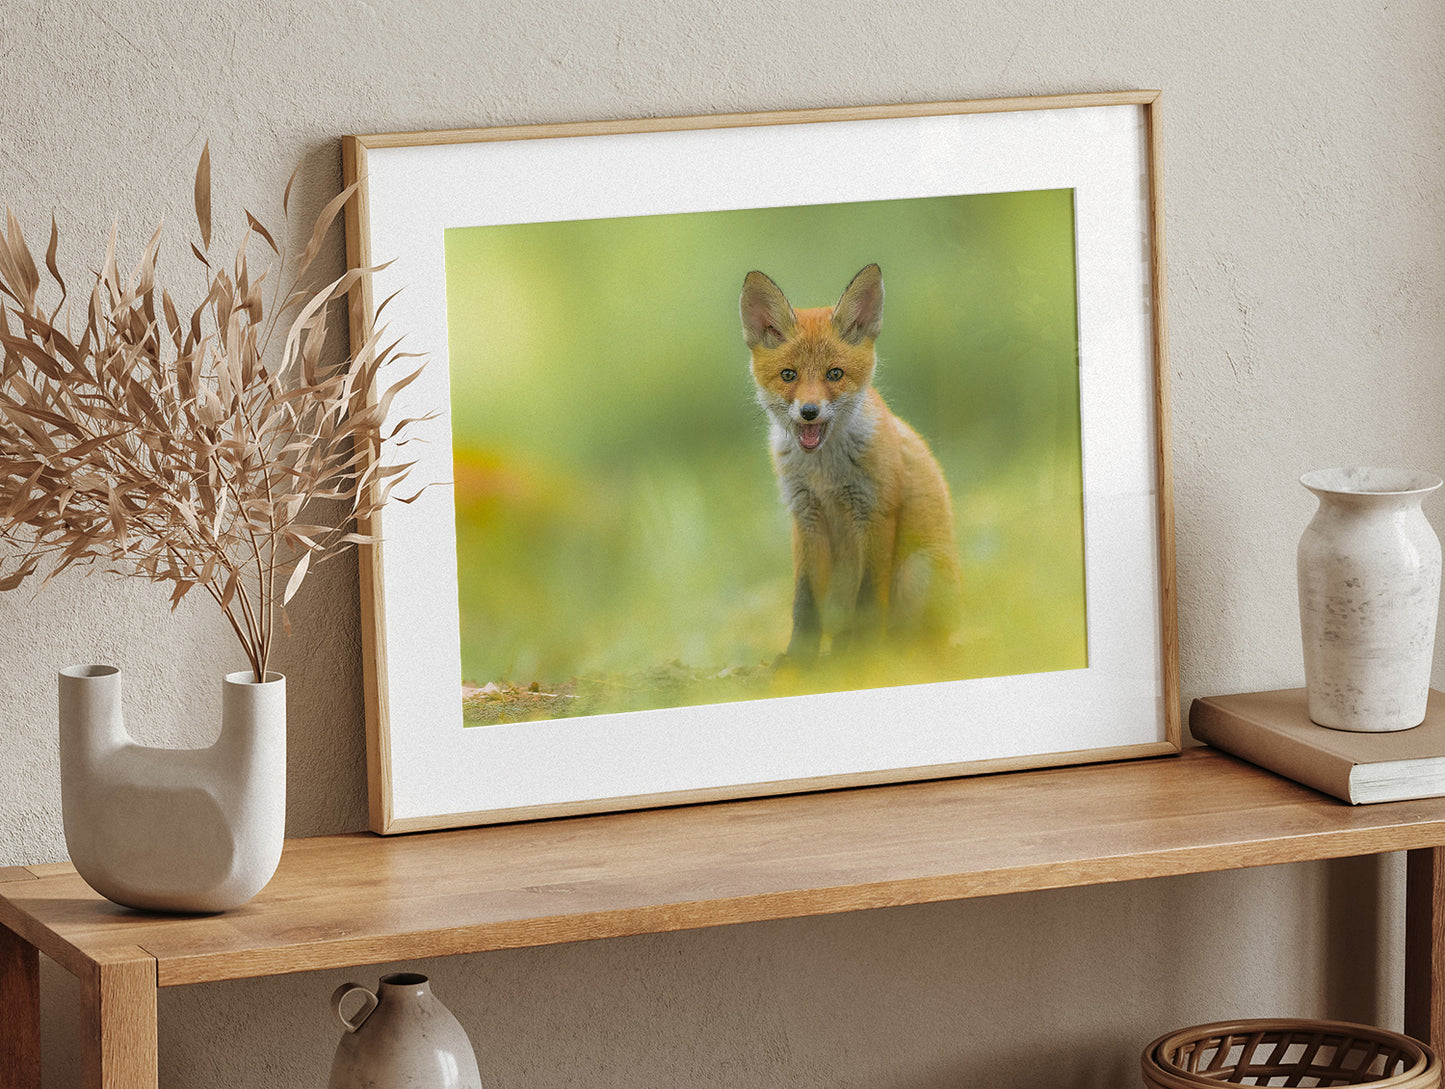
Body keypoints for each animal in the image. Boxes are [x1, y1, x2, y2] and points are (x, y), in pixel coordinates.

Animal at [740, 263, 962, 664]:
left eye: (835, 374)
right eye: (789, 375)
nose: (809, 412)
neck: (824, 475)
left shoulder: (875, 514)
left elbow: (870, 599)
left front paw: (863, 657)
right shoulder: (805, 517)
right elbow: (804, 603)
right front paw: (799, 658)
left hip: (917, 570)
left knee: (918, 637)